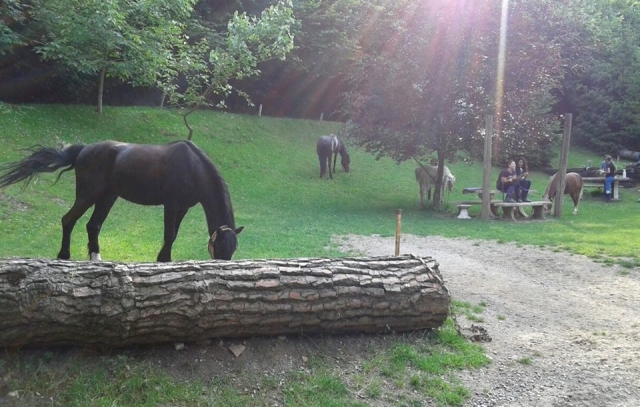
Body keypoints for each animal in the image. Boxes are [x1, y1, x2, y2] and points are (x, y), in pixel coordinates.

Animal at [0, 140, 244, 262]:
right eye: (220, 249)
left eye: (233, 251)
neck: (193, 168)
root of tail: (85, 149)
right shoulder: (171, 205)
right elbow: (169, 235)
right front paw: (163, 260)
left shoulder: (182, 208)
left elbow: (173, 235)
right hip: (88, 195)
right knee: (68, 220)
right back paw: (64, 256)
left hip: (108, 196)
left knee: (93, 225)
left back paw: (96, 257)